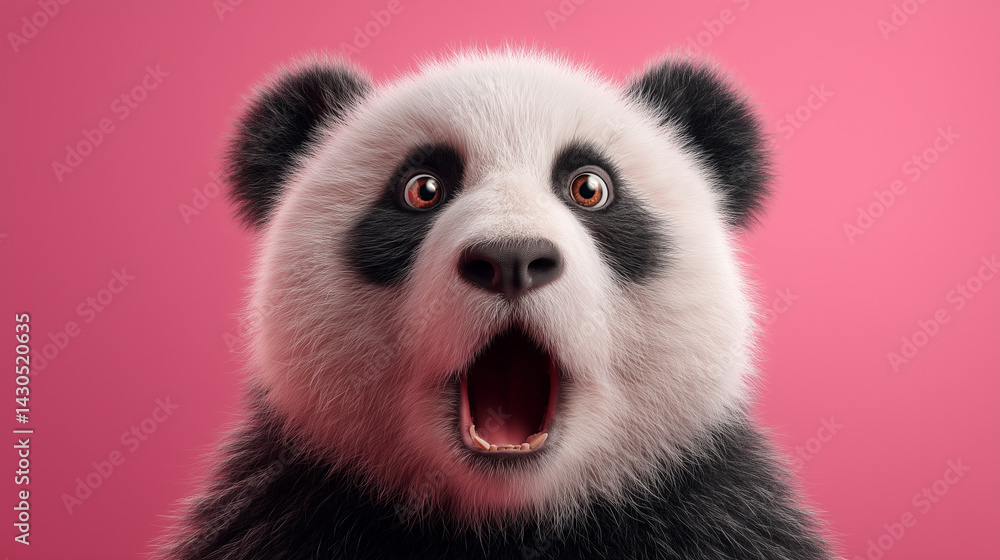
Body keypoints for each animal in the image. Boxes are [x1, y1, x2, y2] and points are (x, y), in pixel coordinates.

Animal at [161, 49, 835, 559]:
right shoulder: (287, 512)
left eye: (589, 187)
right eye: (423, 189)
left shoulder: (714, 514)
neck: (507, 520)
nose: (511, 259)